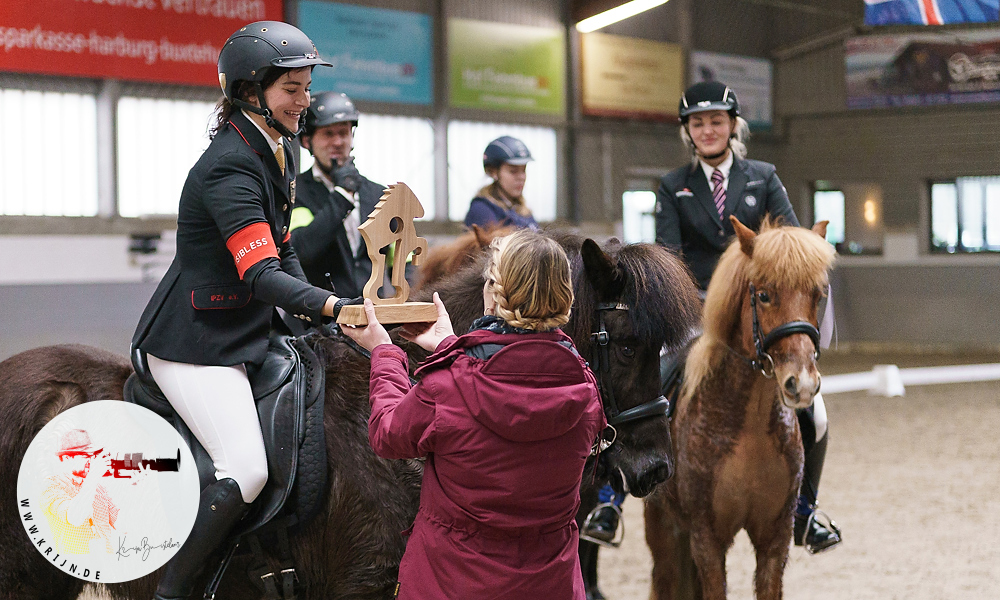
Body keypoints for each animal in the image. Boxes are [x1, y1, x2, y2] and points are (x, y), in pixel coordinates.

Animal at [644, 217, 832, 600]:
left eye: (817, 294)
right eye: (764, 295)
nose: (803, 384)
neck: (751, 428)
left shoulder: (775, 537)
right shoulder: (707, 538)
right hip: (662, 524)